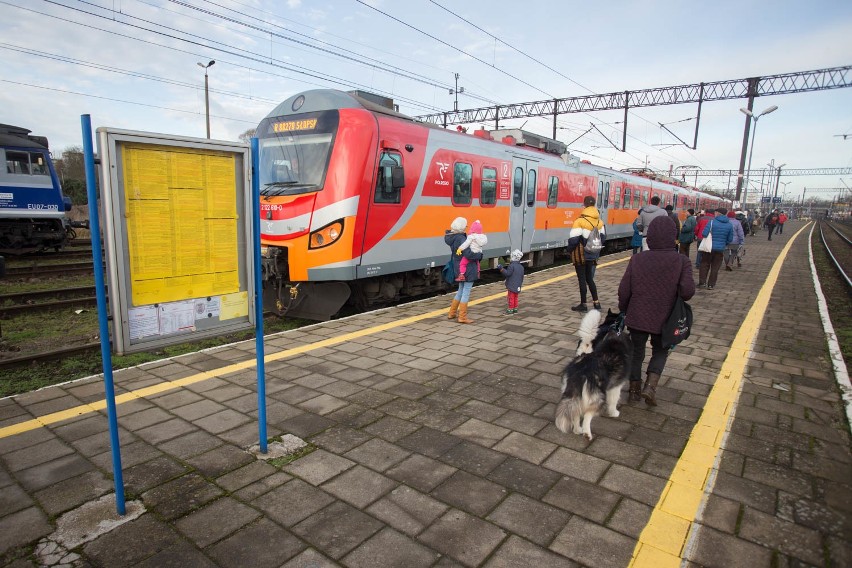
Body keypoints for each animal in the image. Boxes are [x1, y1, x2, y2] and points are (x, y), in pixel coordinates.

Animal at [556, 310, 628, 440]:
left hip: (573, 393)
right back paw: (586, 433)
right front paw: (614, 413)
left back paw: (577, 430)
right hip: (597, 398)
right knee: (587, 415)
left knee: (575, 412)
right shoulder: (616, 386)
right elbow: (614, 401)